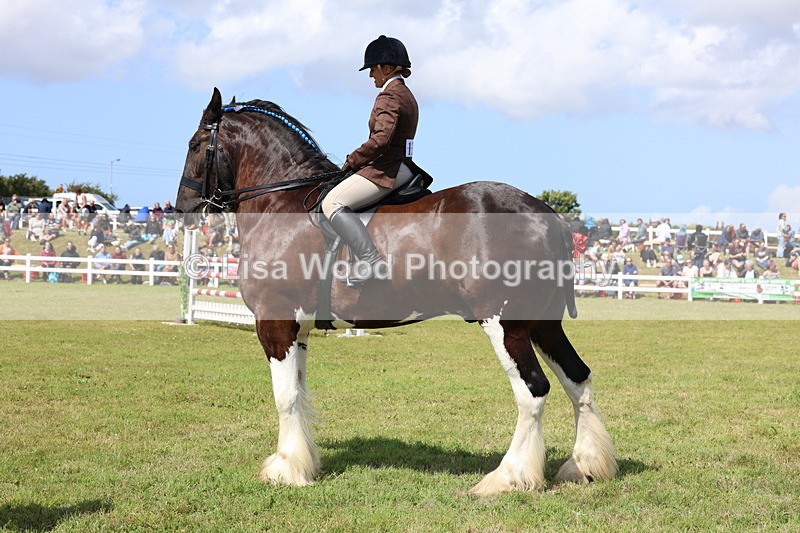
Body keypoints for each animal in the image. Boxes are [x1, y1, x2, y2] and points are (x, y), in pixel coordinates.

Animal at [174, 88, 617, 495]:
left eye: (195, 144)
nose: (183, 210)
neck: (280, 203)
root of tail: (545, 213)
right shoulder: (298, 330)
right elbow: (298, 392)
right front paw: (303, 463)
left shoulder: (275, 321)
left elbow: (284, 397)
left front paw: (285, 470)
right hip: (543, 323)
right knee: (577, 379)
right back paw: (585, 467)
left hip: (505, 324)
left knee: (532, 391)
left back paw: (507, 478)